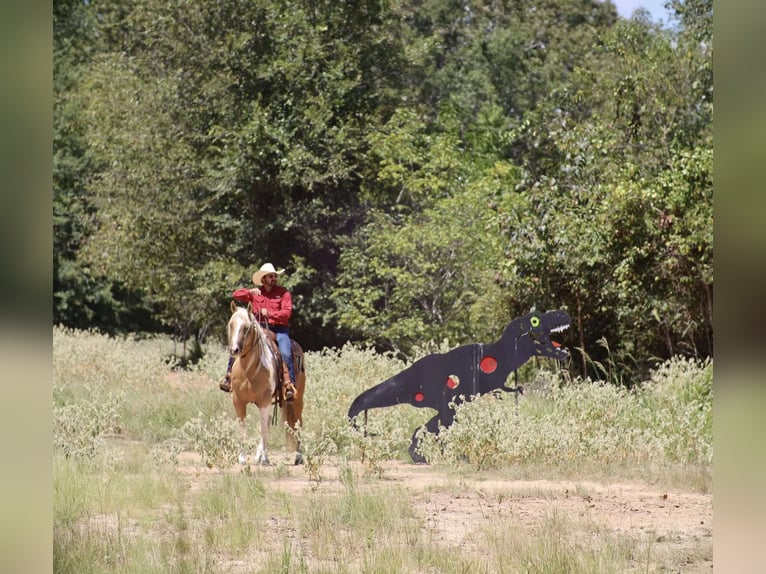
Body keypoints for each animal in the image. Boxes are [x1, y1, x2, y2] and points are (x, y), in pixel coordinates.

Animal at [226, 304, 308, 466]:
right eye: (231, 325)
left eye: (246, 327)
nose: (234, 350)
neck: (248, 371)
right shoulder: (238, 401)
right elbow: (243, 427)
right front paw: (242, 458)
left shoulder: (264, 401)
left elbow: (263, 429)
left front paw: (263, 458)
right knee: (269, 422)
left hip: (297, 400)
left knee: (298, 423)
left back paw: (298, 456)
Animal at [348, 310, 568, 464]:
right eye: (535, 320)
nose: (562, 313)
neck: (505, 353)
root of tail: (411, 373)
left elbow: (504, 389)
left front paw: (516, 390)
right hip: (442, 400)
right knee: (439, 428)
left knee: (426, 428)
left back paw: (422, 458)